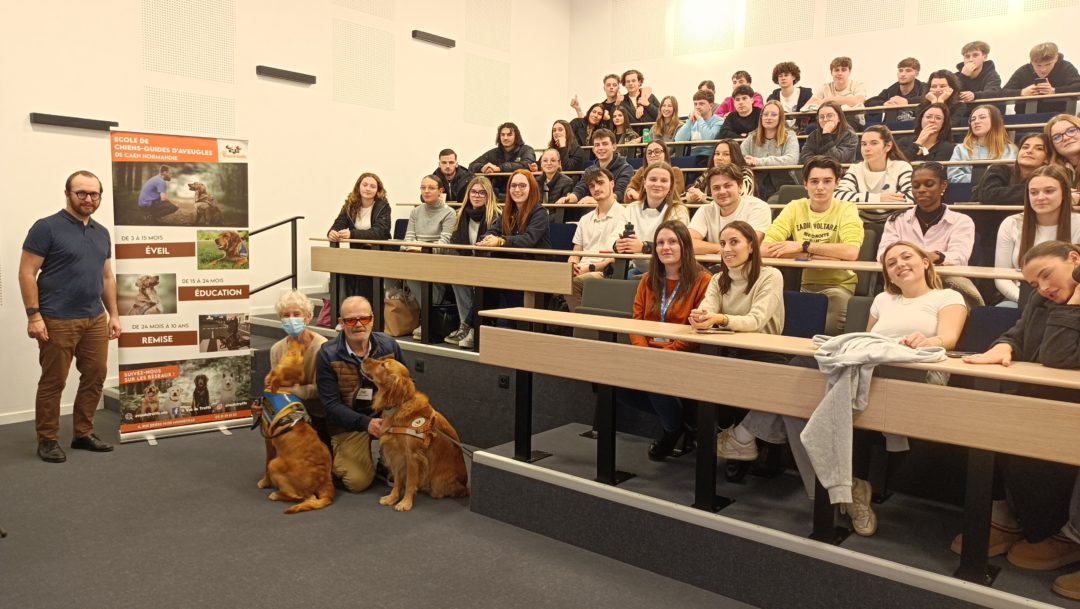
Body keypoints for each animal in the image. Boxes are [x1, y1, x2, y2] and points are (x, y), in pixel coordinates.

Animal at [257, 332, 332, 513]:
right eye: (298, 355)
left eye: (293, 354)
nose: (297, 339)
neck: (282, 389)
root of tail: (323, 480)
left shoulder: (268, 439)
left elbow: (266, 463)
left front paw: (265, 482)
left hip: (276, 464)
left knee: (301, 497)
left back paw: (276, 494)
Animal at [362, 354, 468, 511]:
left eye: (383, 365)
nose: (364, 359)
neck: (400, 406)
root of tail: (465, 484)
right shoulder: (398, 455)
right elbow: (398, 481)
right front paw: (392, 497)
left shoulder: (412, 456)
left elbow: (410, 482)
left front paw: (405, 502)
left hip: (438, 481)